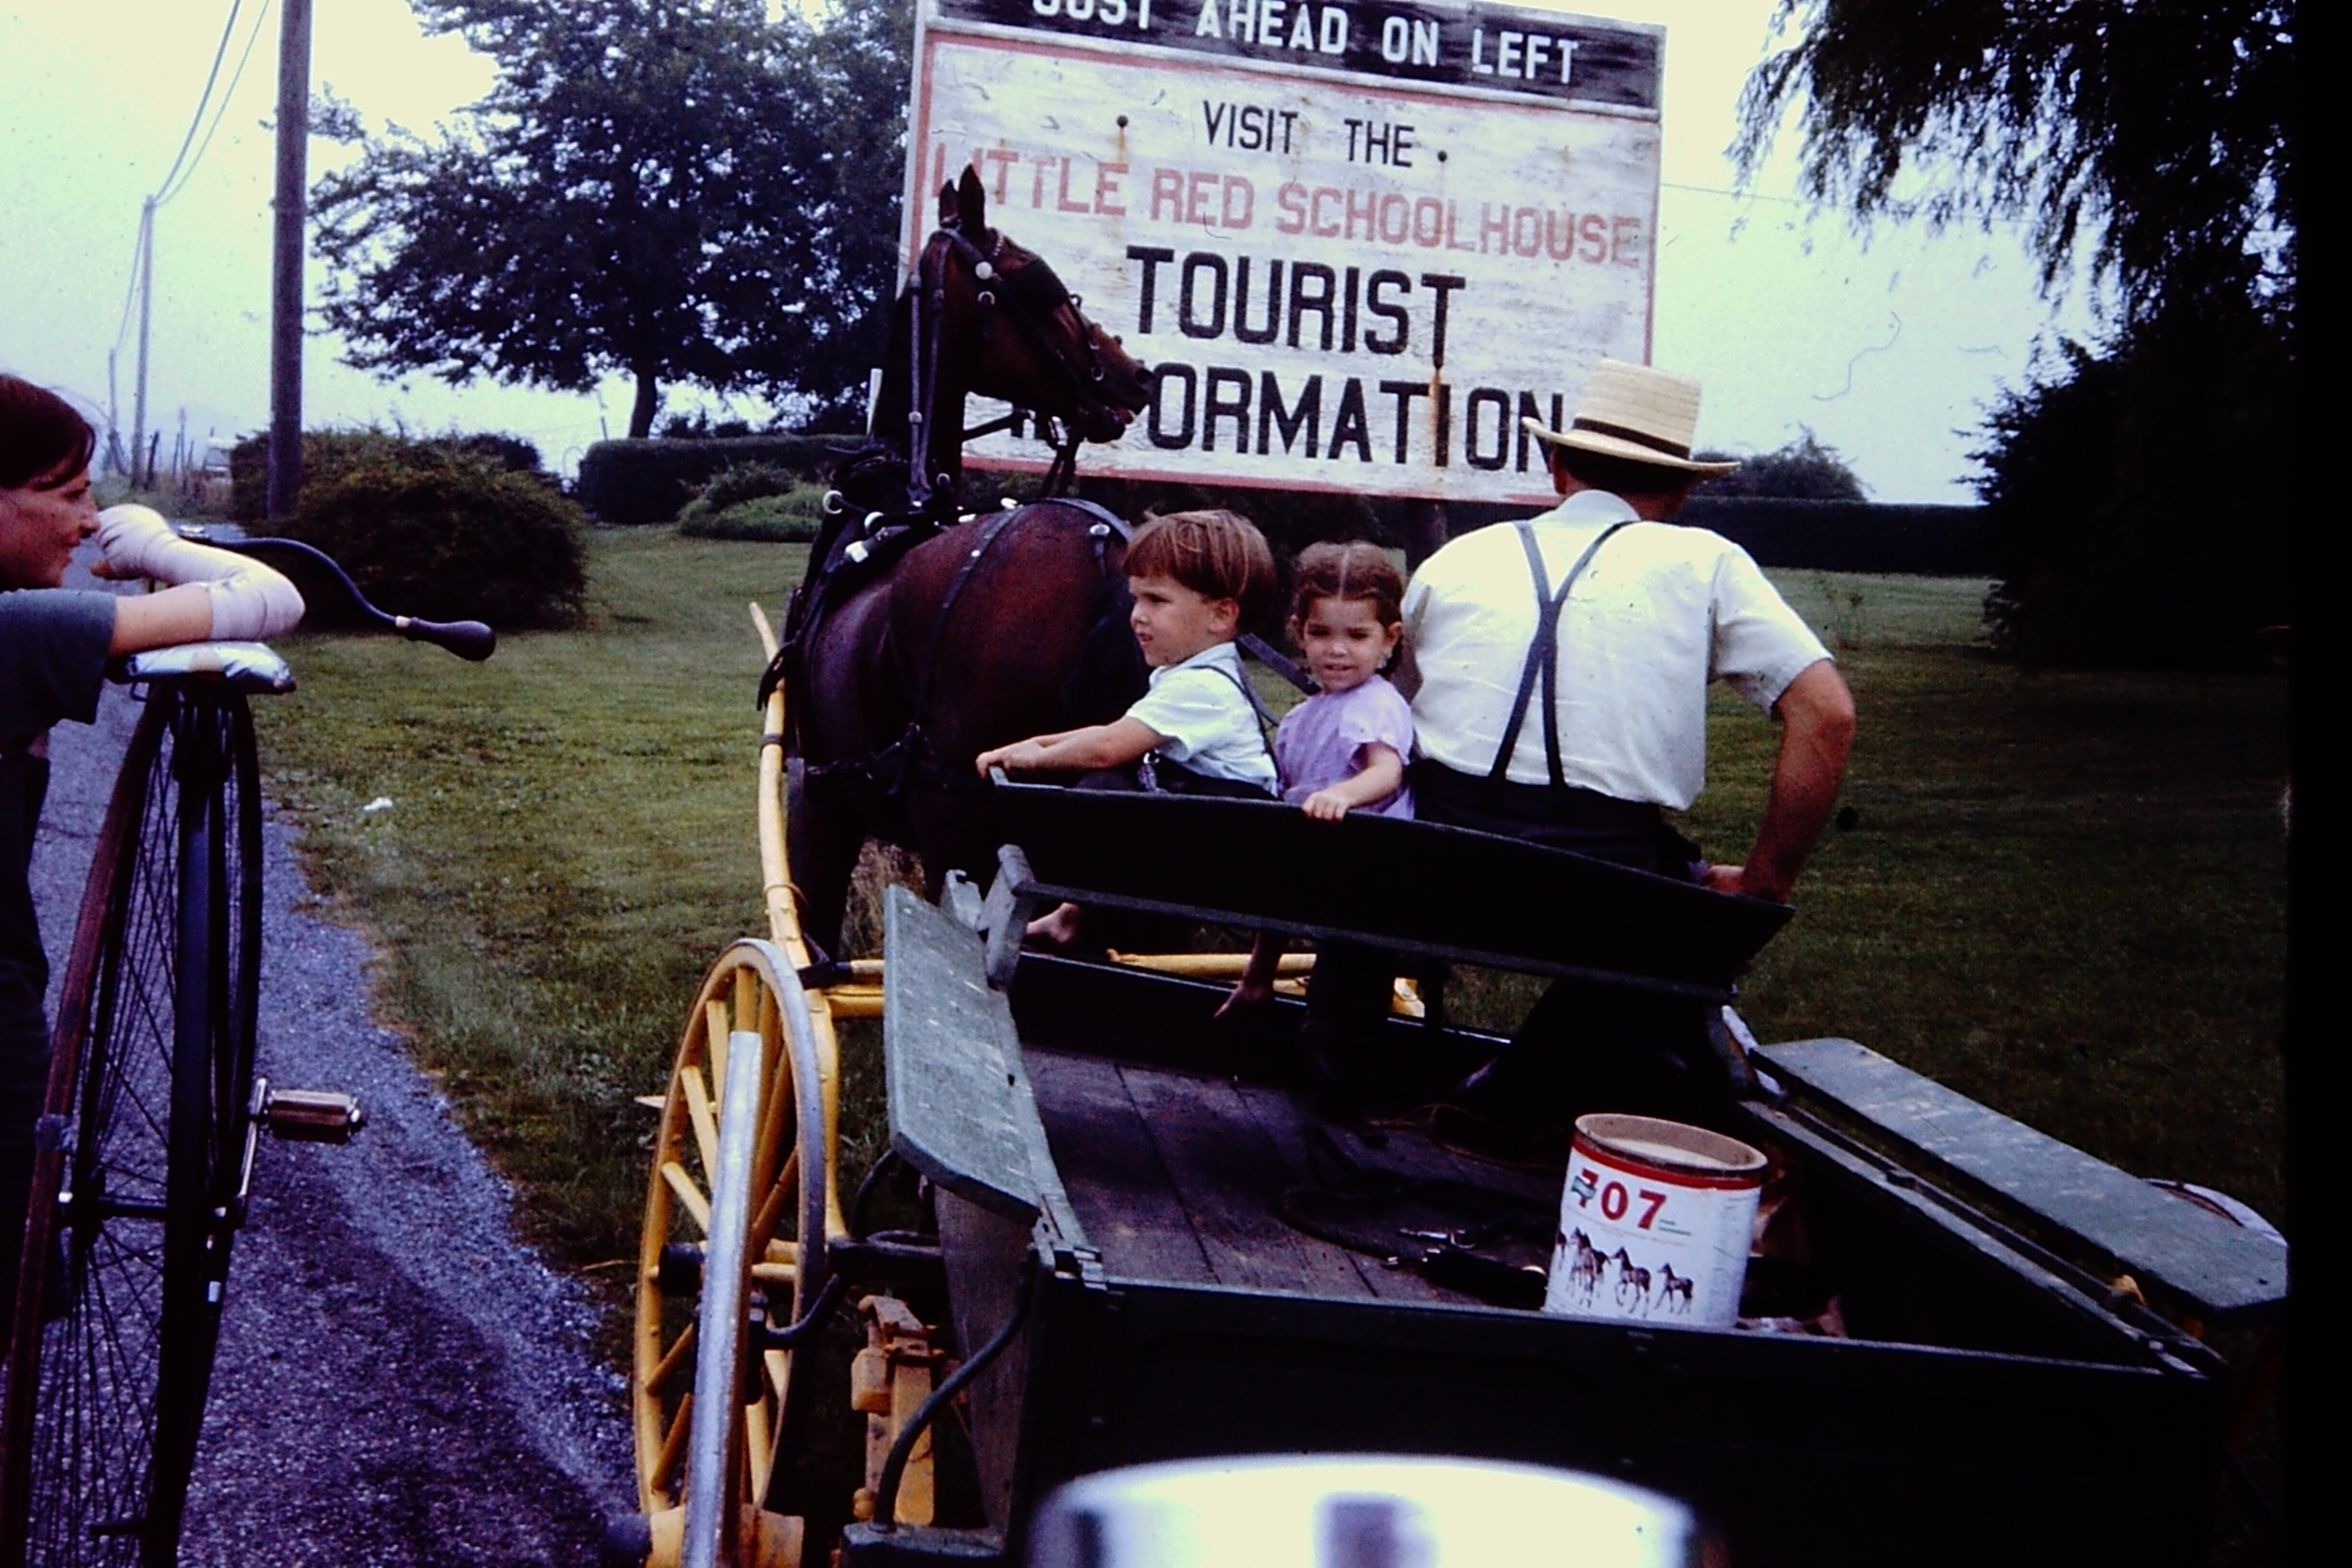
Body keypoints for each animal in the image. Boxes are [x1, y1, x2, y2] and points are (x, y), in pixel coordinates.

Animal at [785, 172, 1152, 959]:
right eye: (1041, 283)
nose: (1135, 377)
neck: (889, 497)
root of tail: (1102, 554)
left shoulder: (818, 796)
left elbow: (812, 949)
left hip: (957, 829)